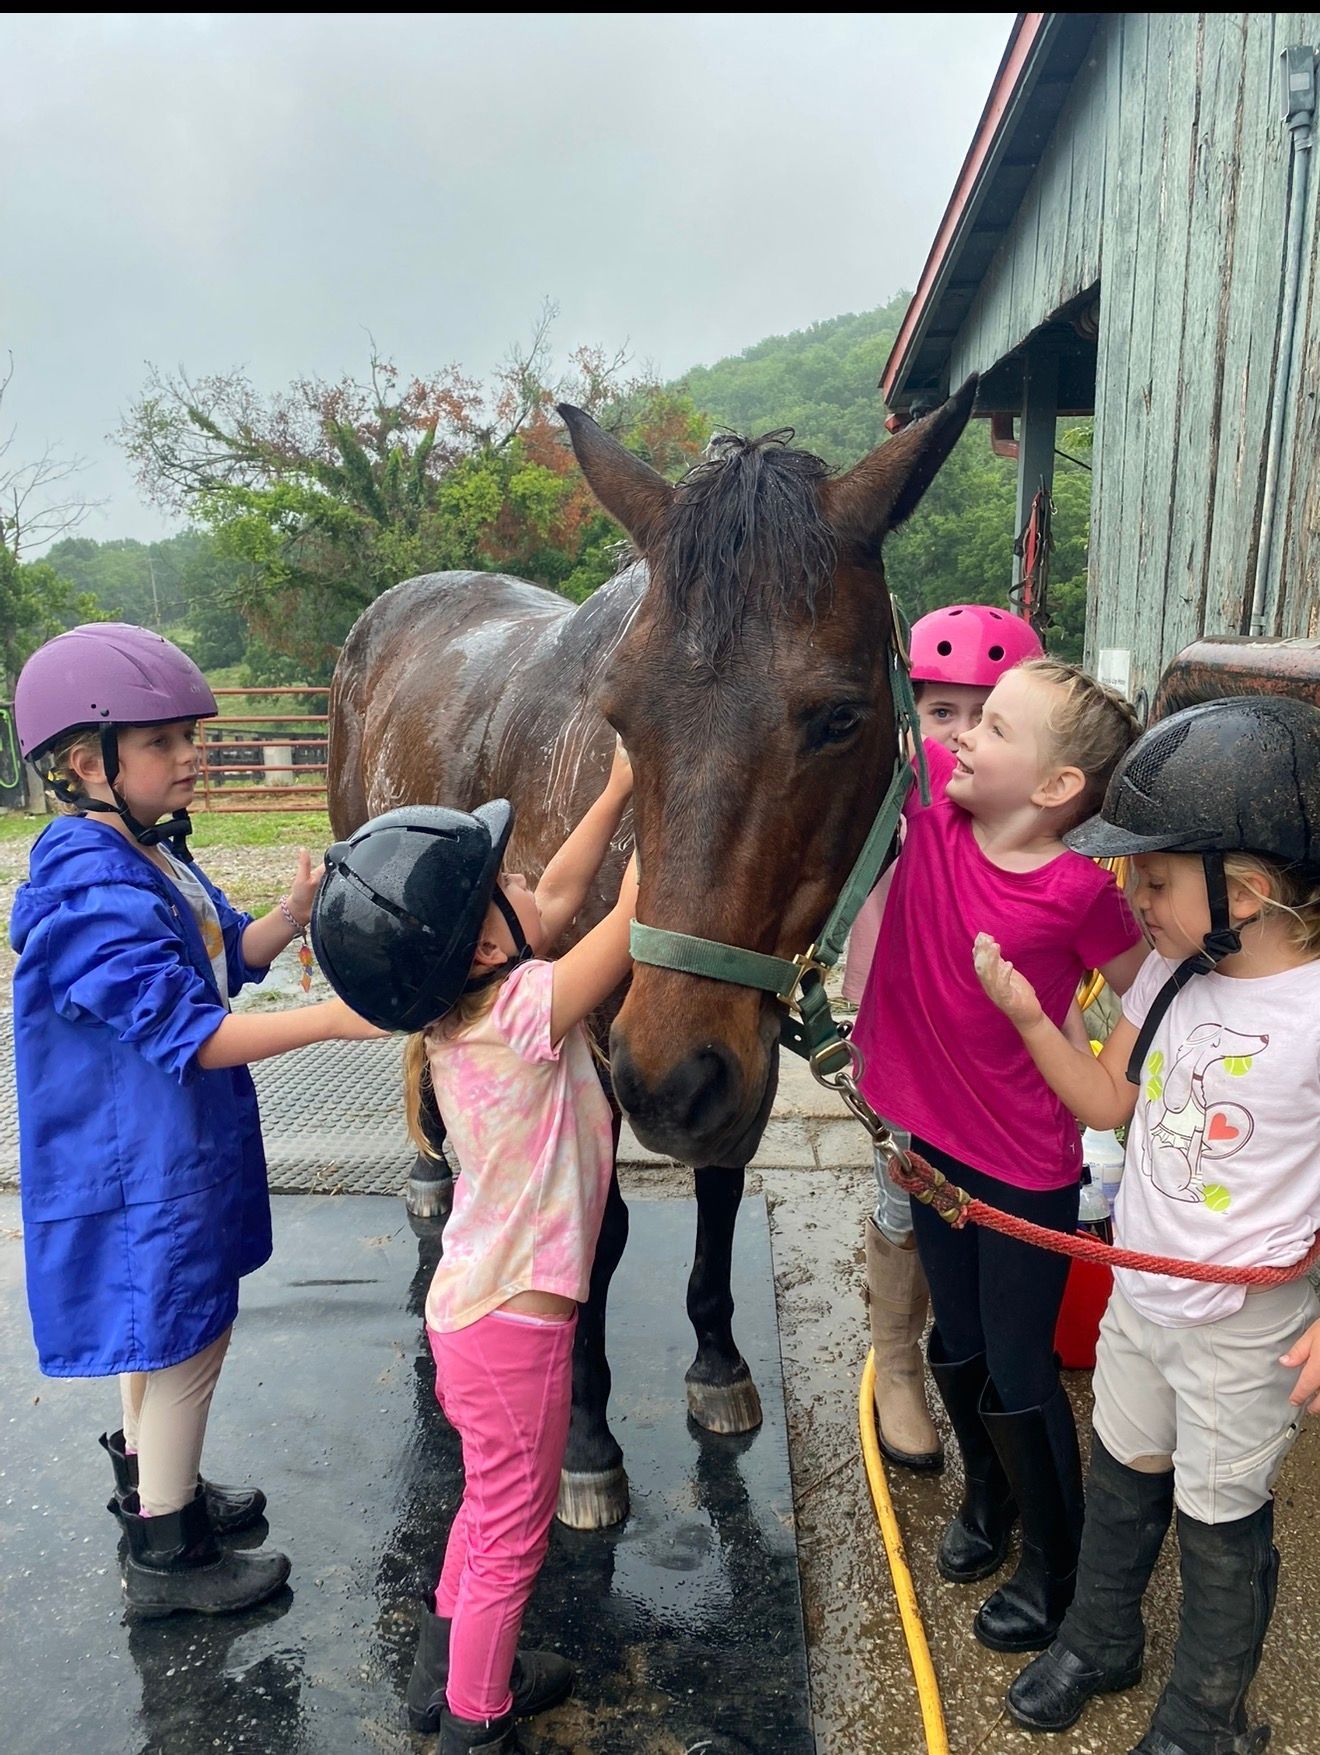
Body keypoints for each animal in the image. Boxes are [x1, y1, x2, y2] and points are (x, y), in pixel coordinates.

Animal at [325, 377, 975, 1529]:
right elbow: (596, 1228)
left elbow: (718, 1190)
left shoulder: (731, 1047)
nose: (667, 1080)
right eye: (621, 714)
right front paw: (585, 1441)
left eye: (840, 716)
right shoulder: (590, 1032)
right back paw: (431, 1172)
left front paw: (717, 1364)